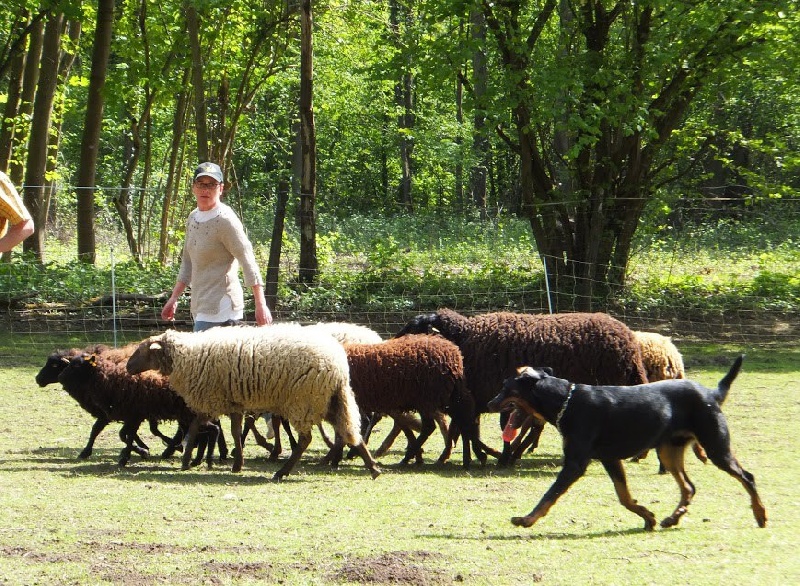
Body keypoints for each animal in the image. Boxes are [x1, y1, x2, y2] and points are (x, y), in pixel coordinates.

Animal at [127, 324, 382, 480]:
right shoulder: (233, 402)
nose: (128, 367)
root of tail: (338, 368)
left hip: (303, 400)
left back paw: (282, 472)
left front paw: (187, 458)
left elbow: (195, 426)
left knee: (307, 439)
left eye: (141, 350)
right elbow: (233, 430)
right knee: (349, 430)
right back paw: (372, 468)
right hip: (325, 400)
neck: (187, 356)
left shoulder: (213, 398)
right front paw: (236, 462)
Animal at [488, 356, 768, 528]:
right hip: (669, 451)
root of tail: (711, 394)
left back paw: (760, 514)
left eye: (505, 388)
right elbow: (624, 496)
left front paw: (527, 519)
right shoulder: (610, 459)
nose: (490, 403)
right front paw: (647, 516)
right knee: (689, 487)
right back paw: (673, 518)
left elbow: (549, 494)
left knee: (748, 477)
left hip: (716, 447)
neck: (566, 401)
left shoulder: (575, 464)